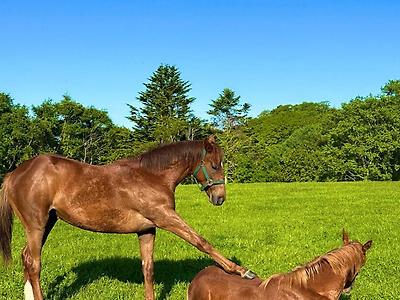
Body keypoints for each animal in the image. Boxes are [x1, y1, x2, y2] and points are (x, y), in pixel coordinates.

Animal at [0, 137, 255, 300]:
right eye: (214, 165)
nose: (220, 198)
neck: (152, 177)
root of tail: (15, 173)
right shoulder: (166, 218)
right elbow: (201, 241)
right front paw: (241, 271)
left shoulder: (147, 229)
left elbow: (148, 268)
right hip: (36, 225)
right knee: (34, 264)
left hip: (47, 223)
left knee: (26, 257)